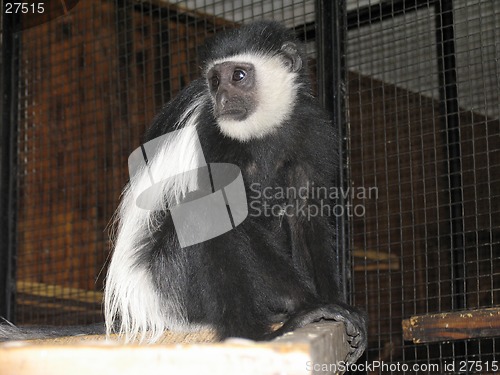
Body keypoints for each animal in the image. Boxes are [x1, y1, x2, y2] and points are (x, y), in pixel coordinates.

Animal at [0, 22, 368, 366]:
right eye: (215, 81)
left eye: (238, 76)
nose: (221, 100)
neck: (262, 133)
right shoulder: (211, 135)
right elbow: (227, 214)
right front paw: (312, 304)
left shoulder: (311, 132)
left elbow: (307, 217)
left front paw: (337, 308)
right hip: (172, 284)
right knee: (199, 213)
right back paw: (255, 334)